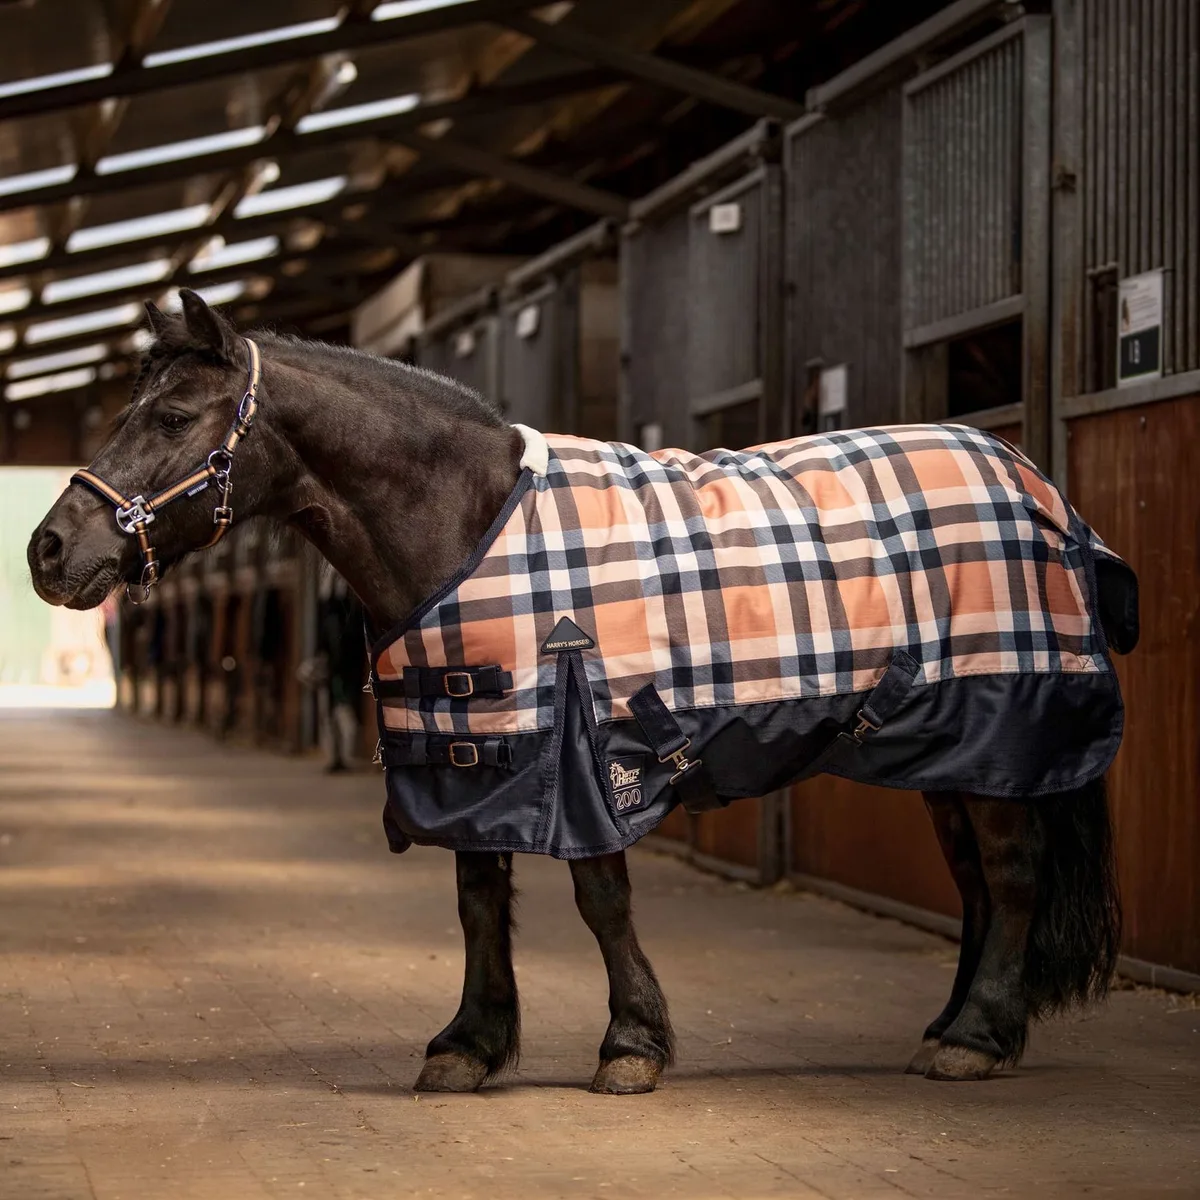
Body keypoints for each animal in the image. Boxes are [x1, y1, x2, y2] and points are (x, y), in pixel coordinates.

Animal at [28, 290, 1132, 1095]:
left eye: (174, 416)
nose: (47, 550)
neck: (465, 522)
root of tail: (1032, 482)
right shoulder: (471, 742)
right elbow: (478, 899)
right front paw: (467, 1045)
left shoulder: (584, 745)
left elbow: (600, 898)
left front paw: (631, 1045)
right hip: (954, 749)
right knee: (977, 883)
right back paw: (960, 1026)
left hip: (1003, 726)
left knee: (1014, 873)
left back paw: (976, 1040)